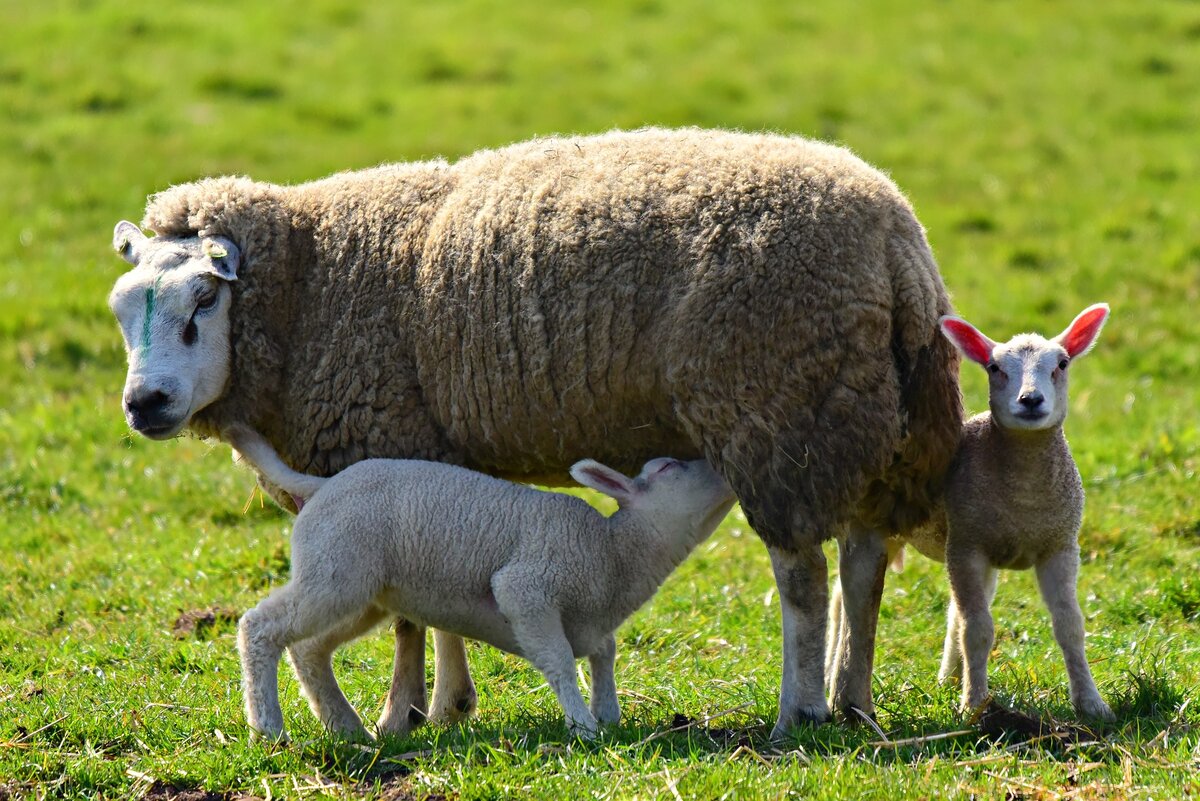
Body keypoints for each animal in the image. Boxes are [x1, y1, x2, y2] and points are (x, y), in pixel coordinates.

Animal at [222, 422, 734, 743]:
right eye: (668, 468)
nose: (720, 465)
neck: (613, 551)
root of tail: (319, 486)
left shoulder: (591, 620)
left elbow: (604, 652)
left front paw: (607, 714)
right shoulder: (528, 588)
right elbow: (559, 661)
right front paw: (584, 727)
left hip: (362, 589)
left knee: (309, 648)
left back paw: (348, 729)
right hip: (336, 568)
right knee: (259, 628)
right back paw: (269, 729)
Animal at [825, 303, 1113, 724]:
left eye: (1061, 363)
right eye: (994, 368)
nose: (1030, 400)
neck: (1024, 496)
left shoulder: (1059, 546)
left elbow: (1069, 626)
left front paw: (1092, 703)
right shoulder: (966, 545)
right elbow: (977, 629)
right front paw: (974, 706)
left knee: (953, 611)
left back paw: (949, 678)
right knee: (840, 599)